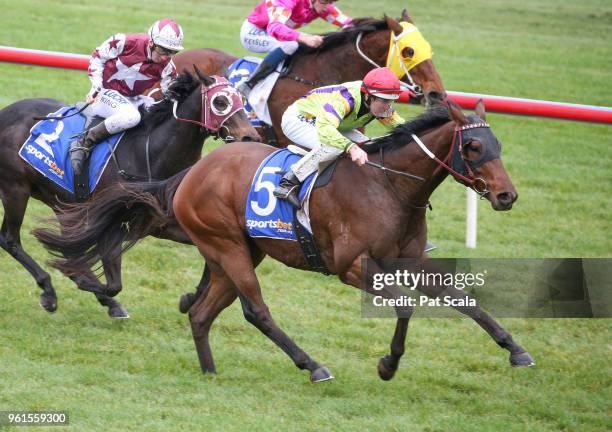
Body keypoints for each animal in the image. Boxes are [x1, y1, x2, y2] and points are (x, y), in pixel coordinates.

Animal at [0, 70, 258, 318]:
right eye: (221, 102)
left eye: (242, 100)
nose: (251, 137)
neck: (151, 153)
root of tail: (6, 112)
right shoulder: (112, 225)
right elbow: (112, 284)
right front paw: (90, 286)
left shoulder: (162, 223)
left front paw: (190, 299)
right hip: (16, 189)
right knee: (10, 239)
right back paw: (49, 291)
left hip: (60, 204)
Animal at [35, 102, 536, 382]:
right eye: (473, 148)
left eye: (498, 145)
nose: (507, 196)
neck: (390, 186)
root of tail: (192, 172)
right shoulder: (353, 267)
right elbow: (404, 308)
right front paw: (388, 364)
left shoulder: (410, 260)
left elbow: (463, 298)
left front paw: (515, 350)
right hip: (229, 248)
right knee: (256, 311)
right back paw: (313, 366)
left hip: (234, 252)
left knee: (202, 313)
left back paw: (209, 370)